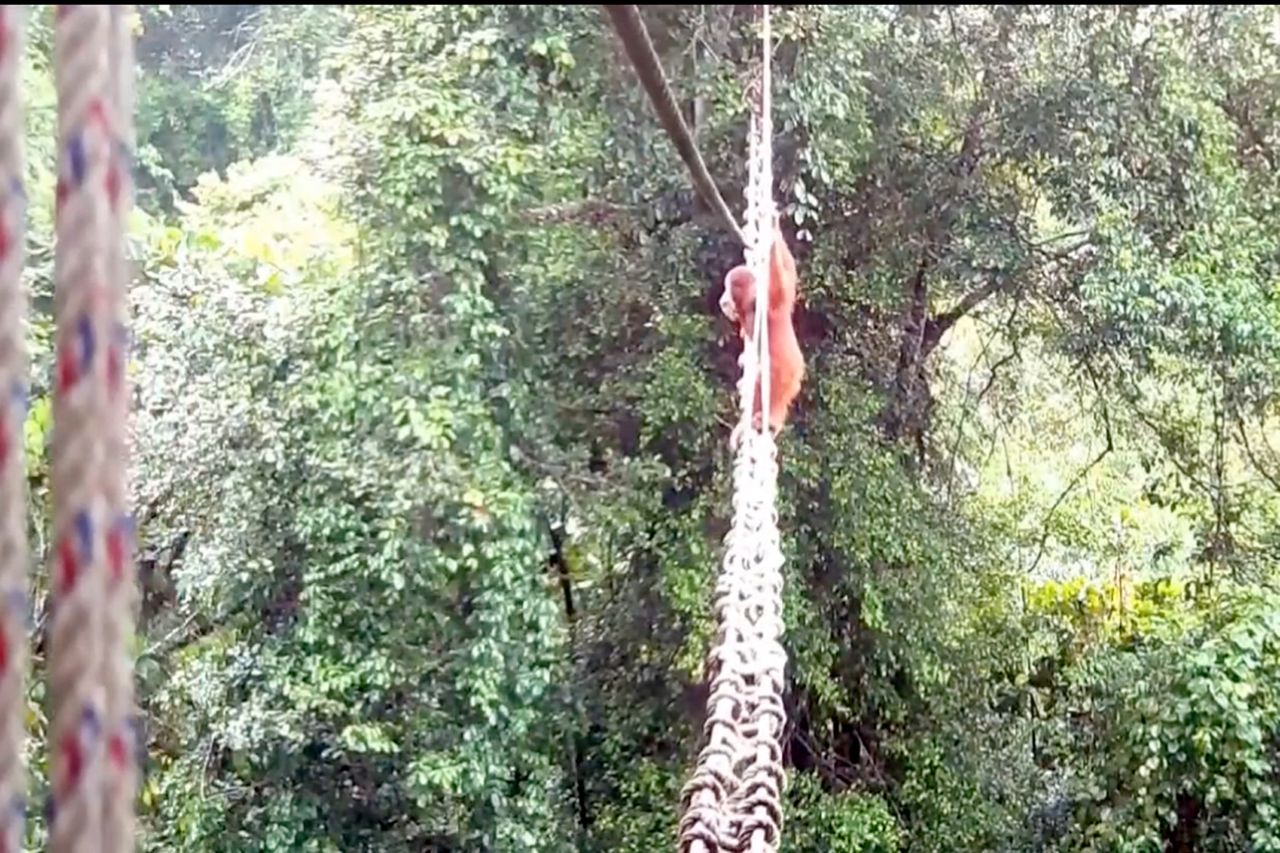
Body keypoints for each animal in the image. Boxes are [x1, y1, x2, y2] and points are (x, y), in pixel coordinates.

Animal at [720, 223, 805, 433]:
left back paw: (767, 420)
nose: (722, 299)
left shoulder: (762, 301)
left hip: (787, 370)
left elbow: (779, 287)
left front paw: (771, 233)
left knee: (768, 382)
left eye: (727, 288)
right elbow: (789, 273)